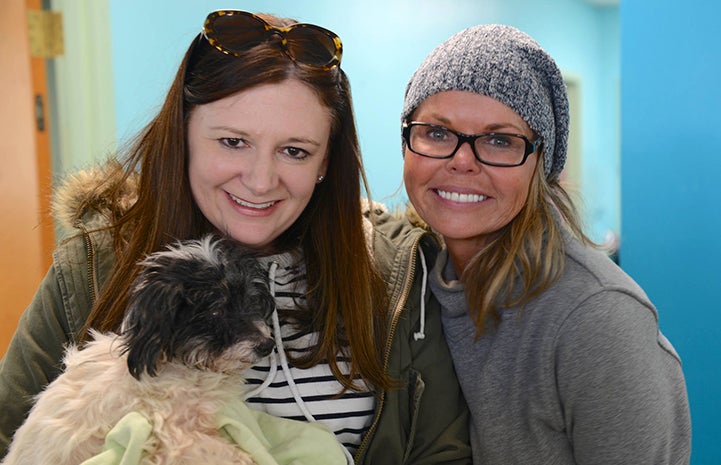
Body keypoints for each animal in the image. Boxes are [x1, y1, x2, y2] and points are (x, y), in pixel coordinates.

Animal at [2, 236, 276, 464]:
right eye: (216, 311)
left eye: (251, 301)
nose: (267, 345)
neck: (181, 364)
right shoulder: (173, 434)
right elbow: (226, 452)